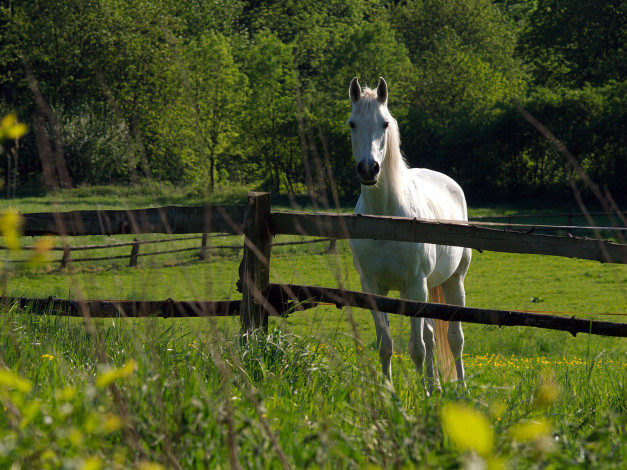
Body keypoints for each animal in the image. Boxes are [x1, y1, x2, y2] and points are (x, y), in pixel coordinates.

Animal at [348, 78, 472, 396]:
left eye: (385, 123)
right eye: (352, 124)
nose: (368, 169)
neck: (386, 222)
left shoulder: (415, 286)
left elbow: (417, 348)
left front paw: (425, 397)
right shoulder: (374, 288)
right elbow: (386, 345)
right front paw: (388, 395)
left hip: (452, 282)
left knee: (454, 339)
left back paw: (461, 389)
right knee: (431, 336)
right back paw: (437, 385)